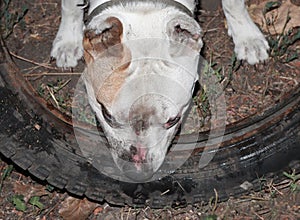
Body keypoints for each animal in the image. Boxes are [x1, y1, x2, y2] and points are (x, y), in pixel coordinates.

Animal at [51, 0, 270, 182]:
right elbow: (69, 5)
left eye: (173, 120)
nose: (137, 173)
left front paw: (247, 36)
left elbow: (234, 3)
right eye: (107, 115)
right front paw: (68, 39)